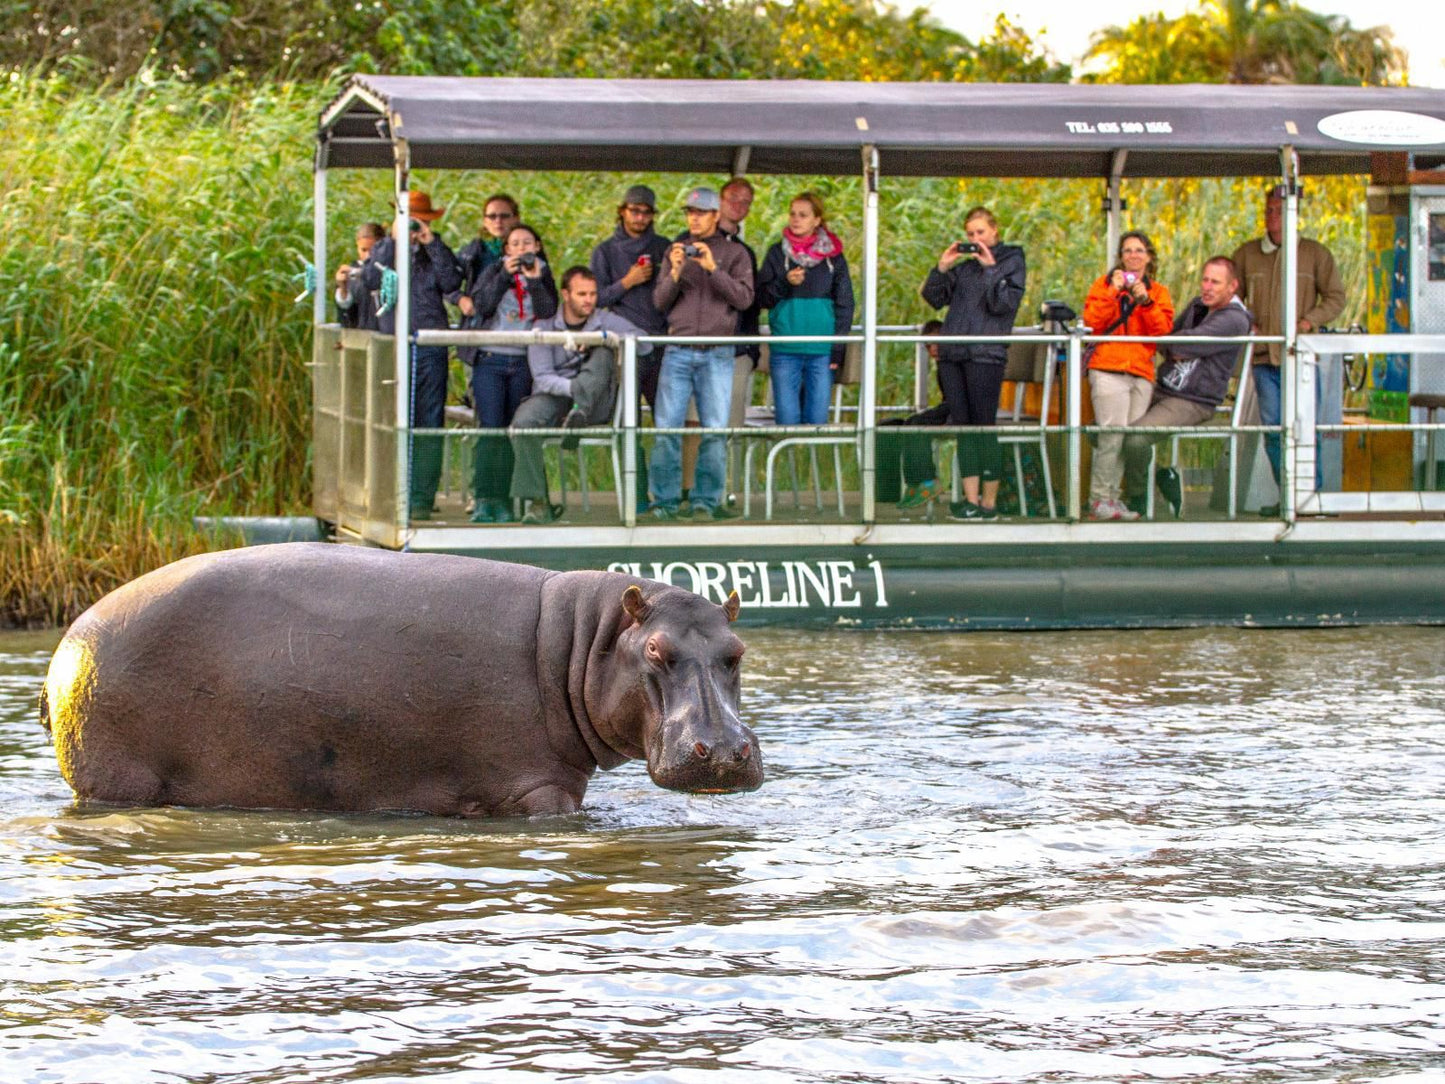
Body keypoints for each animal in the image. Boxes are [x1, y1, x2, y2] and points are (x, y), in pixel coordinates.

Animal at [39, 546, 762, 820]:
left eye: (736, 651)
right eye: (658, 651)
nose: (727, 750)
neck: (585, 642)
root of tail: (65, 646)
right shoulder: (537, 788)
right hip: (119, 781)